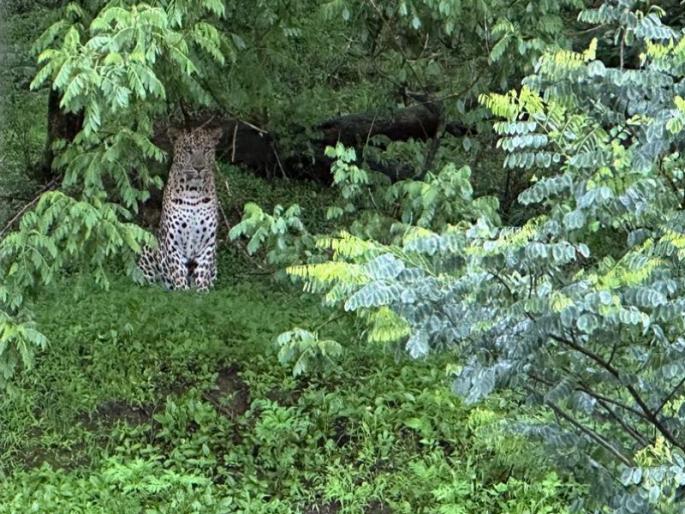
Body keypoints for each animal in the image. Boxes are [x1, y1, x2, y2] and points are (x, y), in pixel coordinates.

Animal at [138, 125, 223, 291]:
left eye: (207, 149)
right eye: (188, 150)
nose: (199, 167)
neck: (193, 191)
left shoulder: (208, 243)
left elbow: (203, 271)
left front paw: (202, 291)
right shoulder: (172, 241)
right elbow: (177, 270)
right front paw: (182, 290)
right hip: (151, 242)